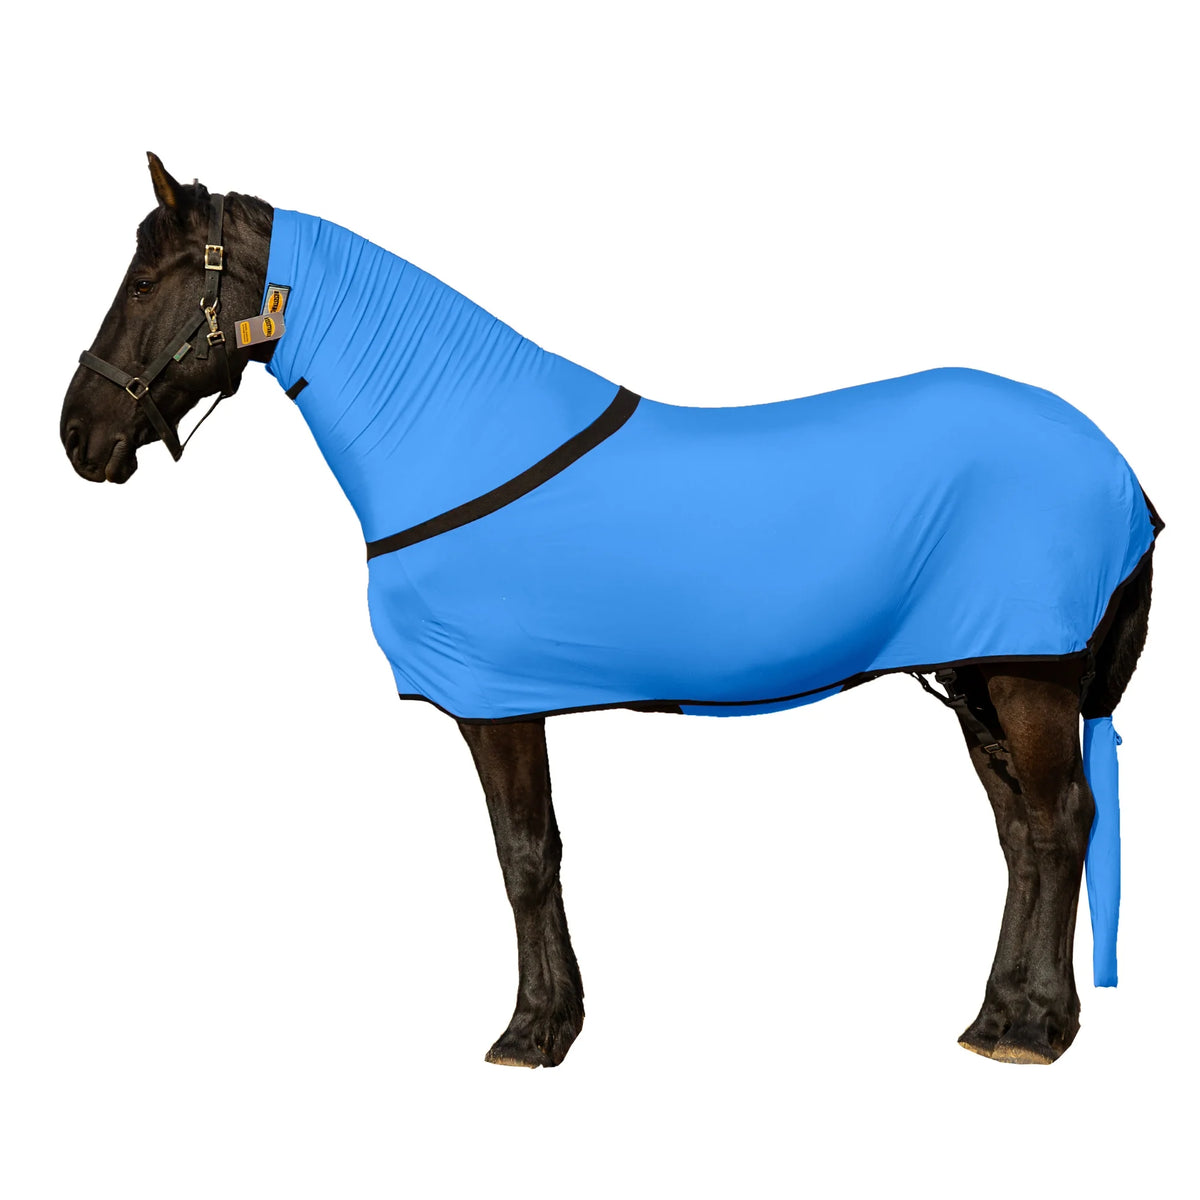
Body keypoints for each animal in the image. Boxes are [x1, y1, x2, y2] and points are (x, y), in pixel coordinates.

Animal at [60, 153, 1160, 1068]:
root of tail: (1122, 474)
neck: (457, 439)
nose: (78, 433)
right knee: (1018, 833)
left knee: (1060, 823)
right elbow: (536, 852)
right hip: (980, 673)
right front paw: (558, 1018)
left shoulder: (495, 705)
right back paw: (996, 1016)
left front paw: (532, 1031)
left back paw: (1036, 1030)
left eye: (147, 284)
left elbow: (524, 856)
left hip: (1029, 674)